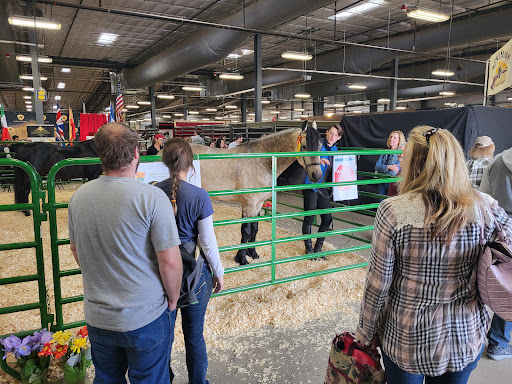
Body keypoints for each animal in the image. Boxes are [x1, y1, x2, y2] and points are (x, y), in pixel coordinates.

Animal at [190, 120, 322, 264]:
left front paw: (252, 253)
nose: (317, 175)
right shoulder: (249, 203)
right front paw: (241, 259)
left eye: (320, 146)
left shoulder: (258, 204)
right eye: (304, 146)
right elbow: (246, 231)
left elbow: (255, 228)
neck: (261, 160)